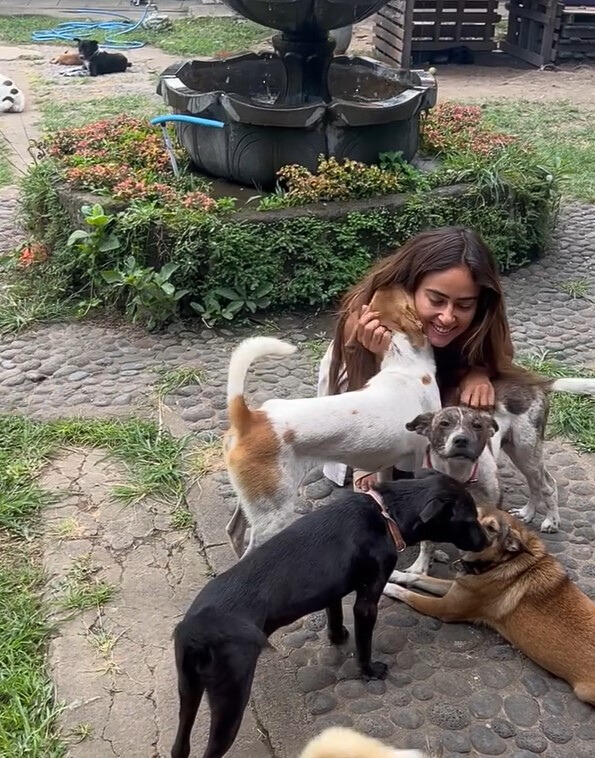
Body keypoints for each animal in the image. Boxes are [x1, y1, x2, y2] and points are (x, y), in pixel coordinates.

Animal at [172, 472, 488, 756]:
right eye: (470, 518)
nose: (486, 541)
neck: (386, 515)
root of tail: (196, 630)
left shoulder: (333, 590)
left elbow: (334, 616)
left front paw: (337, 637)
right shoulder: (367, 600)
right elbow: (364, 643)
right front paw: (369, 671)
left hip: (188, 691)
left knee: (180, 747)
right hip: (230, 697)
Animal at [224, 284, 442, 560]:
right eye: (407, 295)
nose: (389, 282)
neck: (404, 363)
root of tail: (251, 418)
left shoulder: (387, 464)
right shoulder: (422, 456)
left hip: (254, 503)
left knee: (234, 530)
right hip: (273, 515)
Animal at [386, 508, 595, 708]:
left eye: (492, 528)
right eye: (474, 513)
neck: (502, 561)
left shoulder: (444, 607)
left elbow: (409, 595)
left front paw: (388, 587)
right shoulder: (458, 587)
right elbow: (417, 578)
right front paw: (395, 574)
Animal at [398, 378, 595, 580]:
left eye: (477, 425)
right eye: (444, 423)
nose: (461, 440)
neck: (458, 472)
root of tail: (533, 382)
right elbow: (427, 543)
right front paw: (419, 568)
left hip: (526, 449)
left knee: (547, 485)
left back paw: (552, 520)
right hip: (518, 452)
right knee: (534, 484)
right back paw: (527, 513)